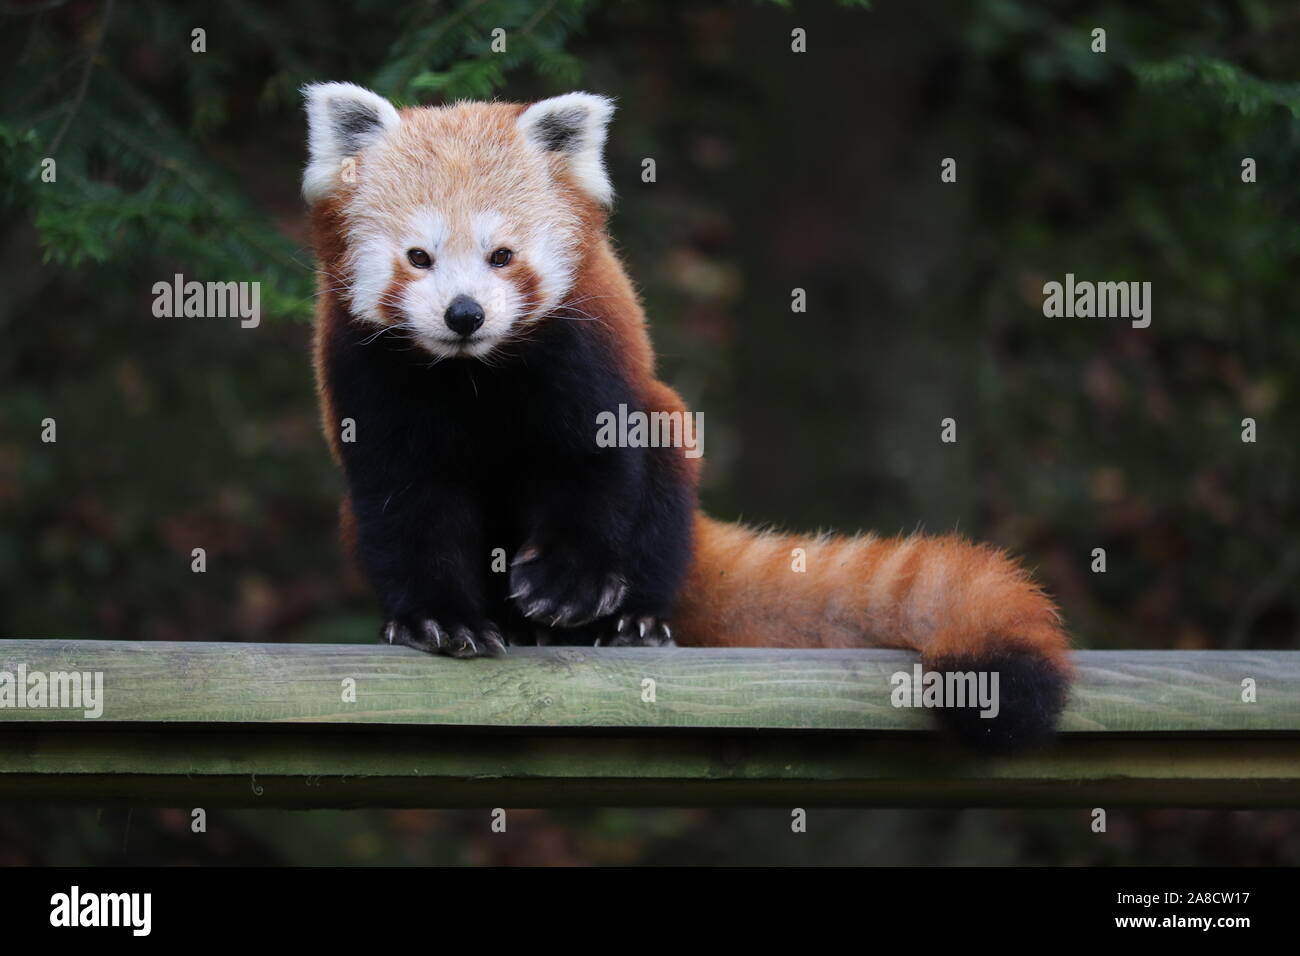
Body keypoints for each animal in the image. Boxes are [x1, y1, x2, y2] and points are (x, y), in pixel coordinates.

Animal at [306, 82, 1076, 749]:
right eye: (418, 256)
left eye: (502, 256)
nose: (464, 314)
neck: (474, 373)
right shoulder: (371, 379)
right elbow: (407, 503)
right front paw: (439, 619)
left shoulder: (585, 358)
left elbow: (591, 468)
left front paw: (566, 583)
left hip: (670, 453)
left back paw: (634, 622)